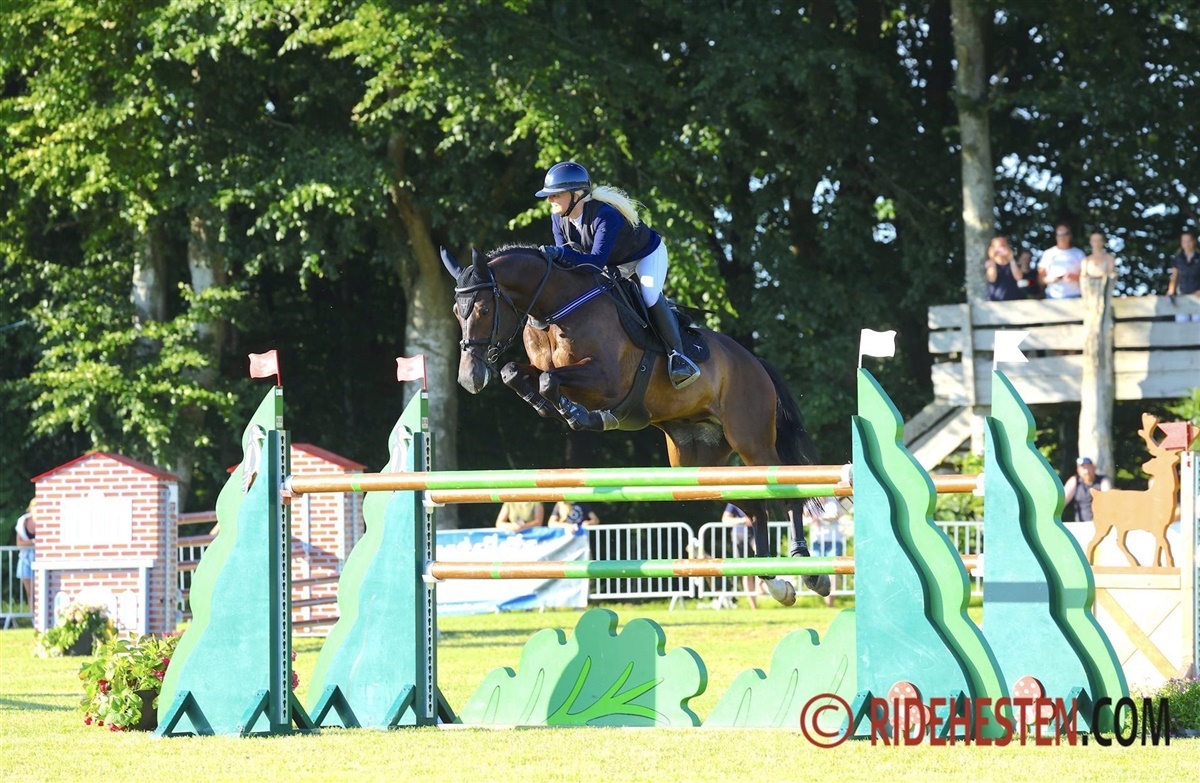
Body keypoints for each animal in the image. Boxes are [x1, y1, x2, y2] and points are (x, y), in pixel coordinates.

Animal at [440, 244, 830, 605]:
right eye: (456, 312)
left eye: (483, 309)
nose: (469, 379)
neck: (554, 308)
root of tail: (754, 361)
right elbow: (515, 373)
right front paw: (545, 406)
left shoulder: (607, 380)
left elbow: (551, 380)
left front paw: (580, 415)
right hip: (696, 464)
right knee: (754, 504)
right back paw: (776, 583)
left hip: (752, 441)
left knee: (787, 492)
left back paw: (807, 568)